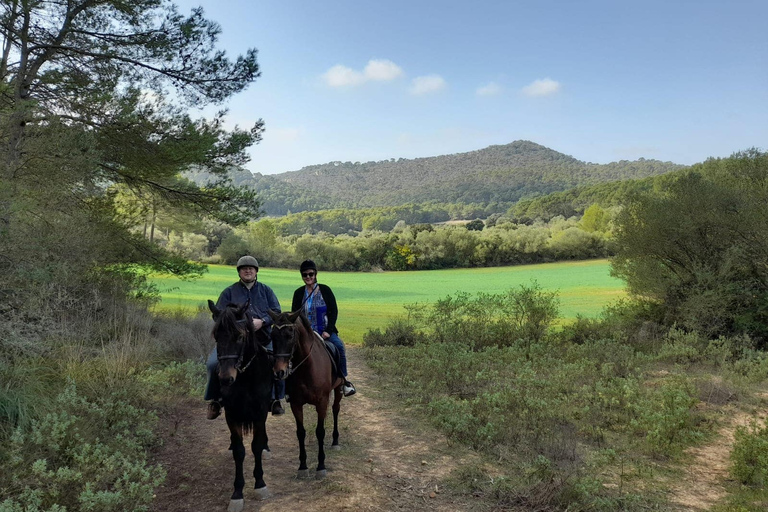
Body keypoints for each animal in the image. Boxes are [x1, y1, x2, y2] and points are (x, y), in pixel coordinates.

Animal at [207, 300, 272, 512]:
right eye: (216, 336)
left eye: (240, 336)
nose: (226, 378)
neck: (246, 378)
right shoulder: (232, 414)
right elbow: (239, 451)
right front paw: (237, 493)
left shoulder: (260, 413)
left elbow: (256, 446)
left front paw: (260, 484)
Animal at [268, 308, 344, 480]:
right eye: (272, 336)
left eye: (289, 335)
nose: (279, 371)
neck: (307, 368)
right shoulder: (296, 404)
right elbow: (301, 433)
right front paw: (302, 466)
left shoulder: (322, 402)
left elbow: (320, 431)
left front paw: (321, 466)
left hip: (338, 389)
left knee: (335, 409)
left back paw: (336, 441)